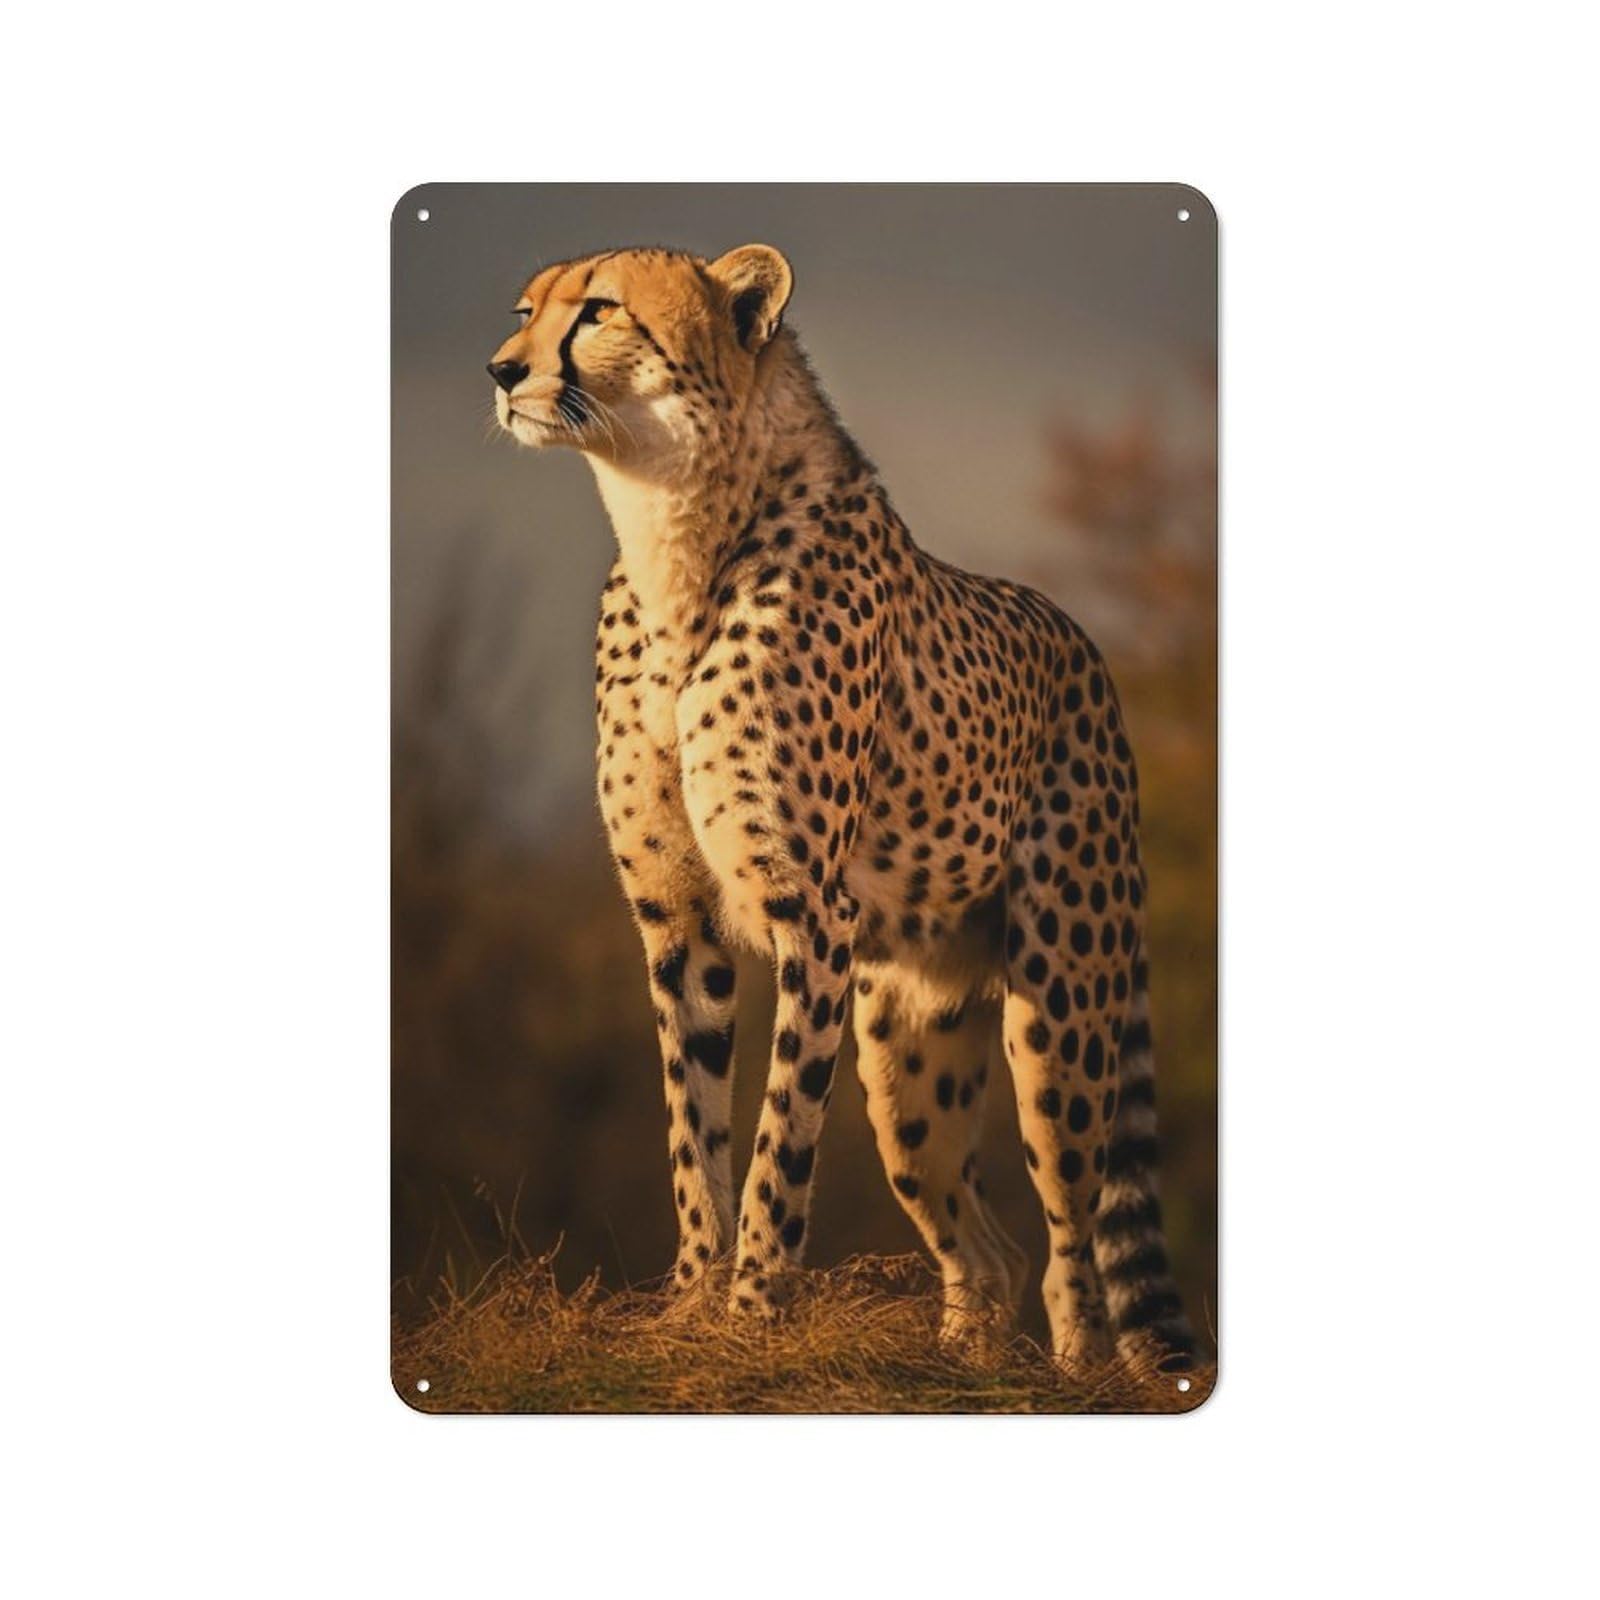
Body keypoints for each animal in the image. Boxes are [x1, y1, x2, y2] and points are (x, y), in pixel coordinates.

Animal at [487, 242, 1197, 1371]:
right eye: (525, 310)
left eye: (597, 311)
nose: (502, 370)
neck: (673, 534)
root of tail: (1083, 642)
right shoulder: (676, 919)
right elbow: (692, 1128)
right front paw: (690, 1303)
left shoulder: (808, 912)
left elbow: (779, 1138)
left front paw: (749, 1312)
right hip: (907, 1048)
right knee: (982, 1245)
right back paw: (960, 1357)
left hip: (1059, 1006)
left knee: (1070, 1231)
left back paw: (1079, 1362)